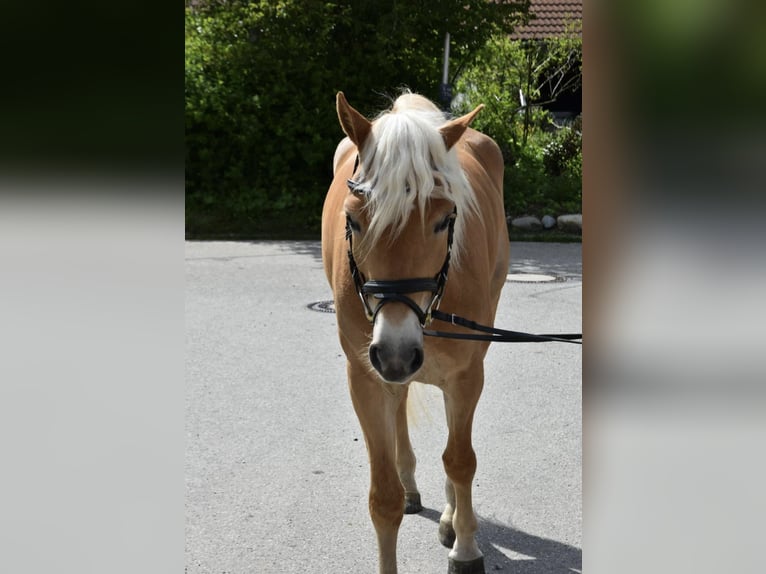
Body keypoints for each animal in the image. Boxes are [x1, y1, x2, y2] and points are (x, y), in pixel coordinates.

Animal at [322, 91, 510, 574]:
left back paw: (452, 516)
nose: (397, 353)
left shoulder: (466, 374)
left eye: (444, 220)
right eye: (353, 220)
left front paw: (466, 547)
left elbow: (460, 460)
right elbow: (382, 499)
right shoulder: (365, 377)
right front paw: (399, 493)